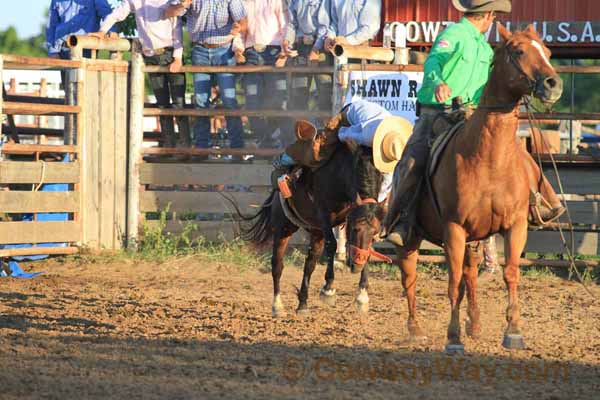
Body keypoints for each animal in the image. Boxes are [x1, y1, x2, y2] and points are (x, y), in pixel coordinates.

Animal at [237, 133, 392, 318]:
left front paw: (362, 297)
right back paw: (277, 306)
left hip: (316, 233)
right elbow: (332, 245)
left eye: (374, 231)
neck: (344, 173)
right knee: (277, 265)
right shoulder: (323, 215)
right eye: (355, 228)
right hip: (284, 228)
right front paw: (328, 290)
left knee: (309, 264)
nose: (357, 265)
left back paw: (303, 304)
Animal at [392, 24, 564, 354]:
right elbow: (452, 281)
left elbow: (510, 273)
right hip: (413, 236)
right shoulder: (454, 227)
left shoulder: (515, 225)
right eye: (519, 50)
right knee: (409, 275)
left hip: (474, 238)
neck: (488, 160)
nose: (553, 84)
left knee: (470, 274)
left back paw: (475, 323)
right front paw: (453, 337)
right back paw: (415, 329)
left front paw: (513, 331)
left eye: (548, 52)